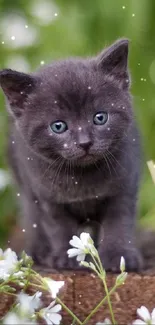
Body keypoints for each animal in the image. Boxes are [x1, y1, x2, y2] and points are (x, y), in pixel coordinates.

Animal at [0, 38, 143, 270]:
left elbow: (119, 221)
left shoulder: (125, 186)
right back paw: (37, 251)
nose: (85, 142)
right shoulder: (47, 197)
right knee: (30, 214)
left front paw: (119, 256)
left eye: (100, 117)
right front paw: (66, 257)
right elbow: (58, 226)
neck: (82, 178)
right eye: (58, 126)